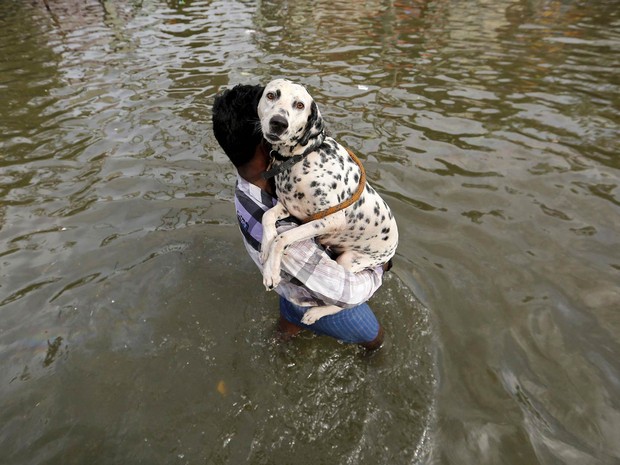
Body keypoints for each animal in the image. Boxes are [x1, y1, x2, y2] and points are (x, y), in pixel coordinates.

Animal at [256, 78, 398, 322]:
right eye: (272, 95)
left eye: (300, 105)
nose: (278, 123)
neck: (302, 157)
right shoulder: (289, 207)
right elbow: (266, 217)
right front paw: (265, 248)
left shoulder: (329, 220)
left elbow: (283, 238)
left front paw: (271, 272)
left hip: (349, 260)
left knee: (347, 302)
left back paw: (316, 312)